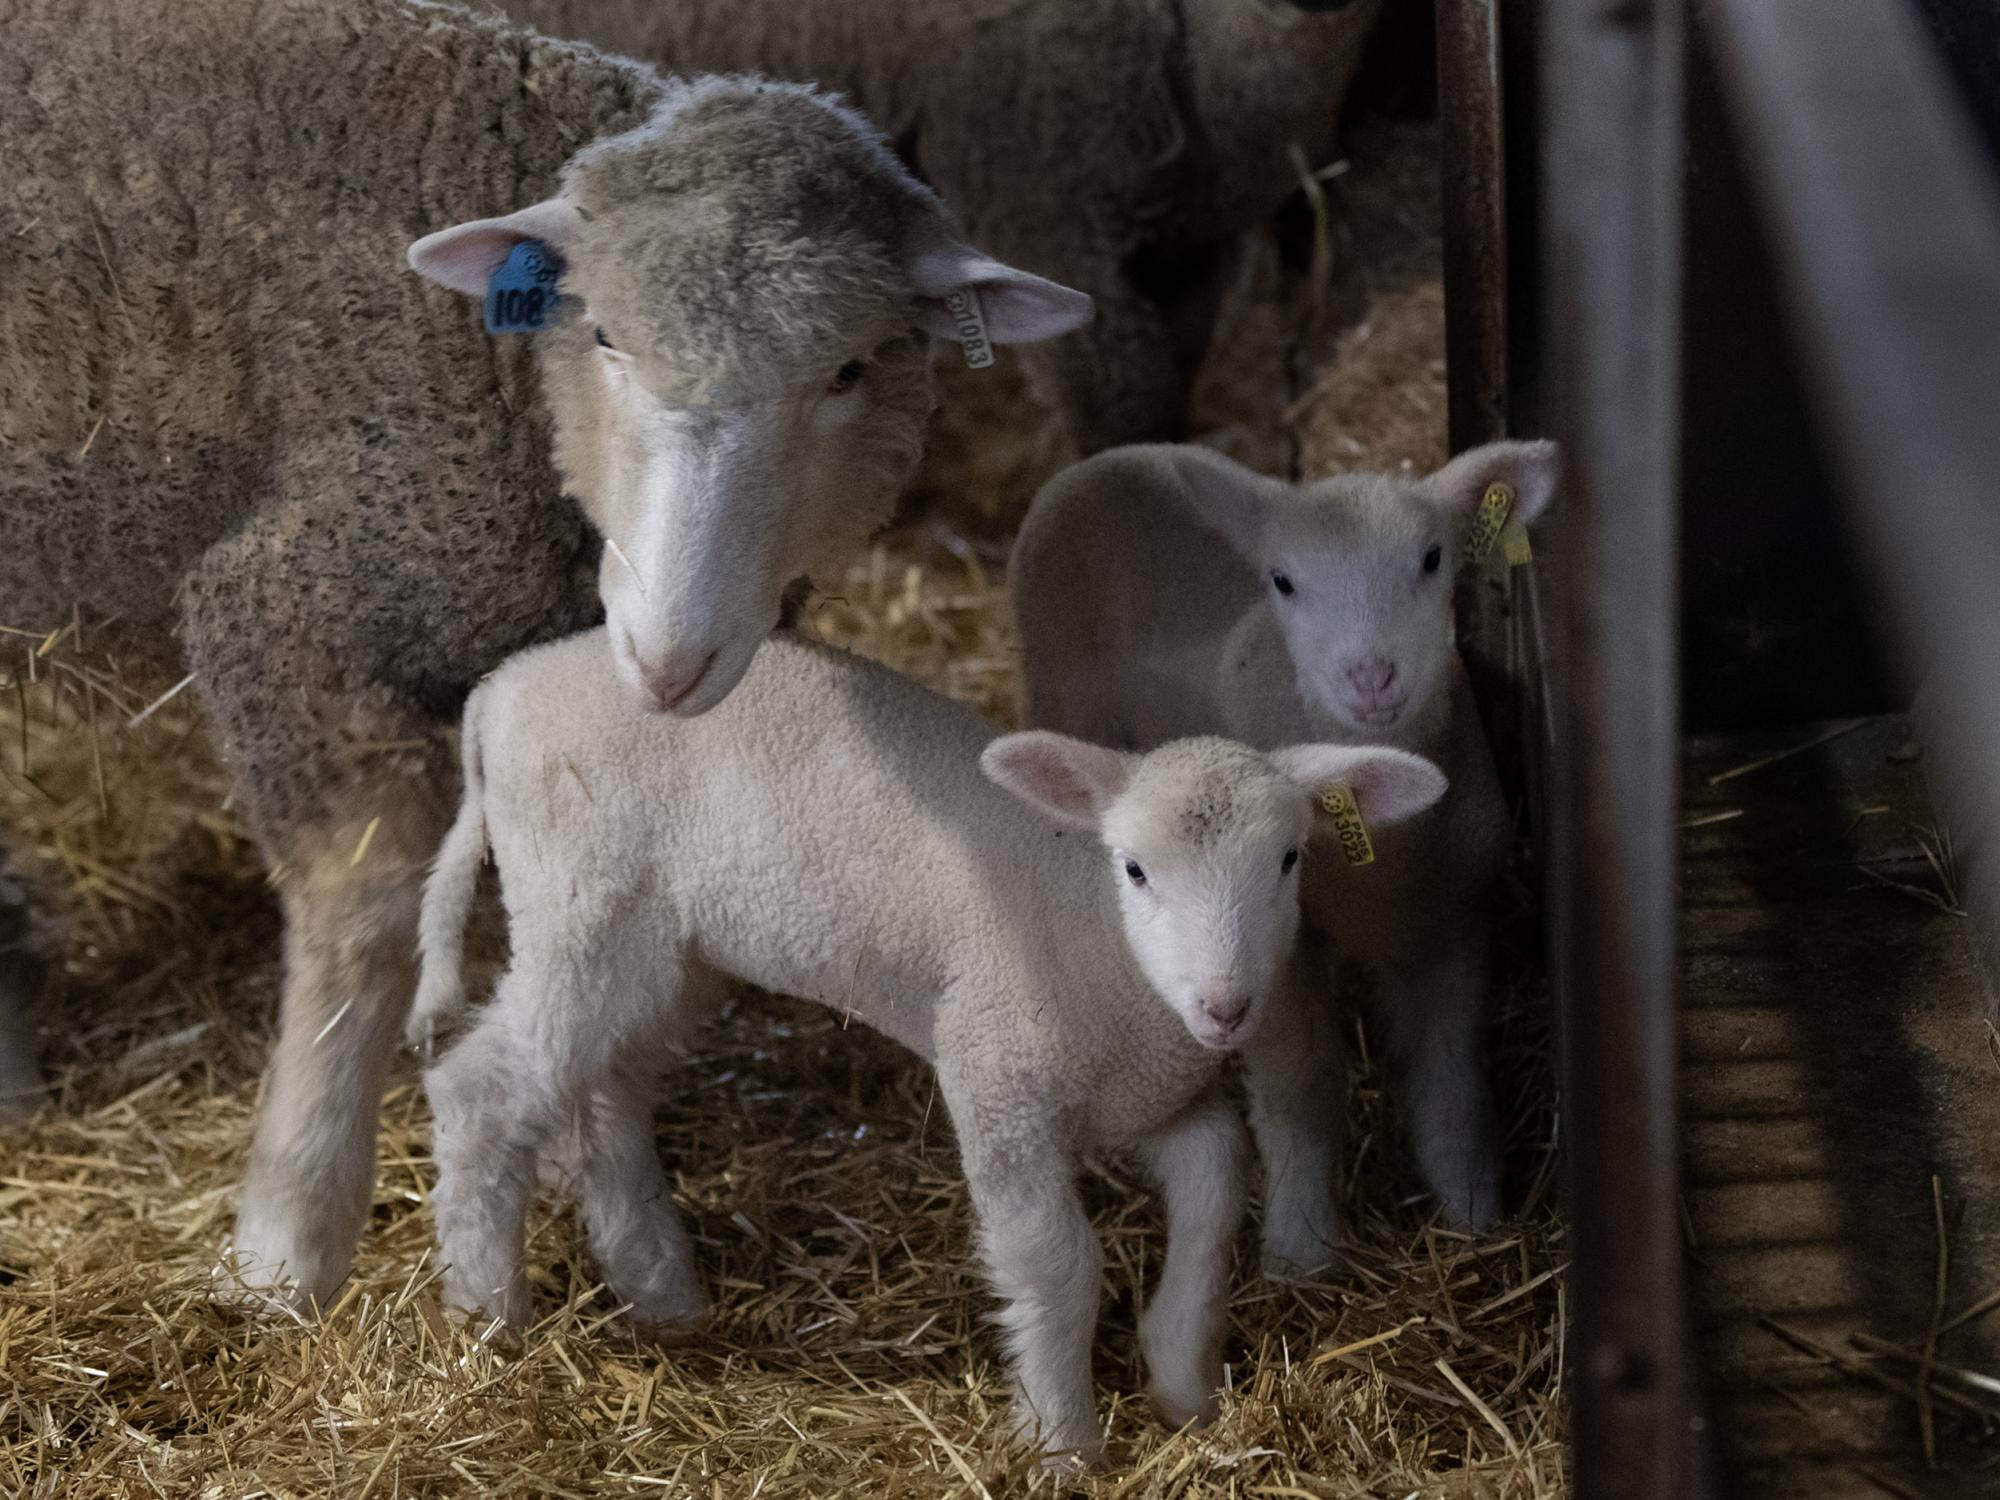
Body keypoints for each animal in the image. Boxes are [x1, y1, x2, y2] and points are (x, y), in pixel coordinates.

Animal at [0, 0, 1090, 1306]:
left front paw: (635, 1238)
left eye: (849, 368)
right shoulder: (288, 607)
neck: (496, 368)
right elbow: (363, 915)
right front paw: (287, 1243)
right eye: (603, 336)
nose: (670, 656)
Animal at [408, 629, 1446, 1459]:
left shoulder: (1156, 1098)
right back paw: (485, 1320)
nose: (1228, 1008)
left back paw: (658, 1289)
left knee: (607, 1085)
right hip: (581, 899)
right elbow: (1057, 1262)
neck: (1097, 935)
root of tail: (503, 687)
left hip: (662, 942)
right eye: (1136, 870)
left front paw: (1186, 1390)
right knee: (482, 1094)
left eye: (1290, 860)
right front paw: (1061, 1442)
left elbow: (1218, 1192)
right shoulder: (998, 1075)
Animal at [1009, 440, 1558, 1258]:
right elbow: (1299, 1085)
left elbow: (1454, 1081)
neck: (1378, 863)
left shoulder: (1455, 920)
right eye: (1283, 581)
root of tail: (1111, 456)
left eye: (1433, 558)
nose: (1371, 677)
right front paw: (1301, 1247)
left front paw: (1472, 1213)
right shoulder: (1273, 956)